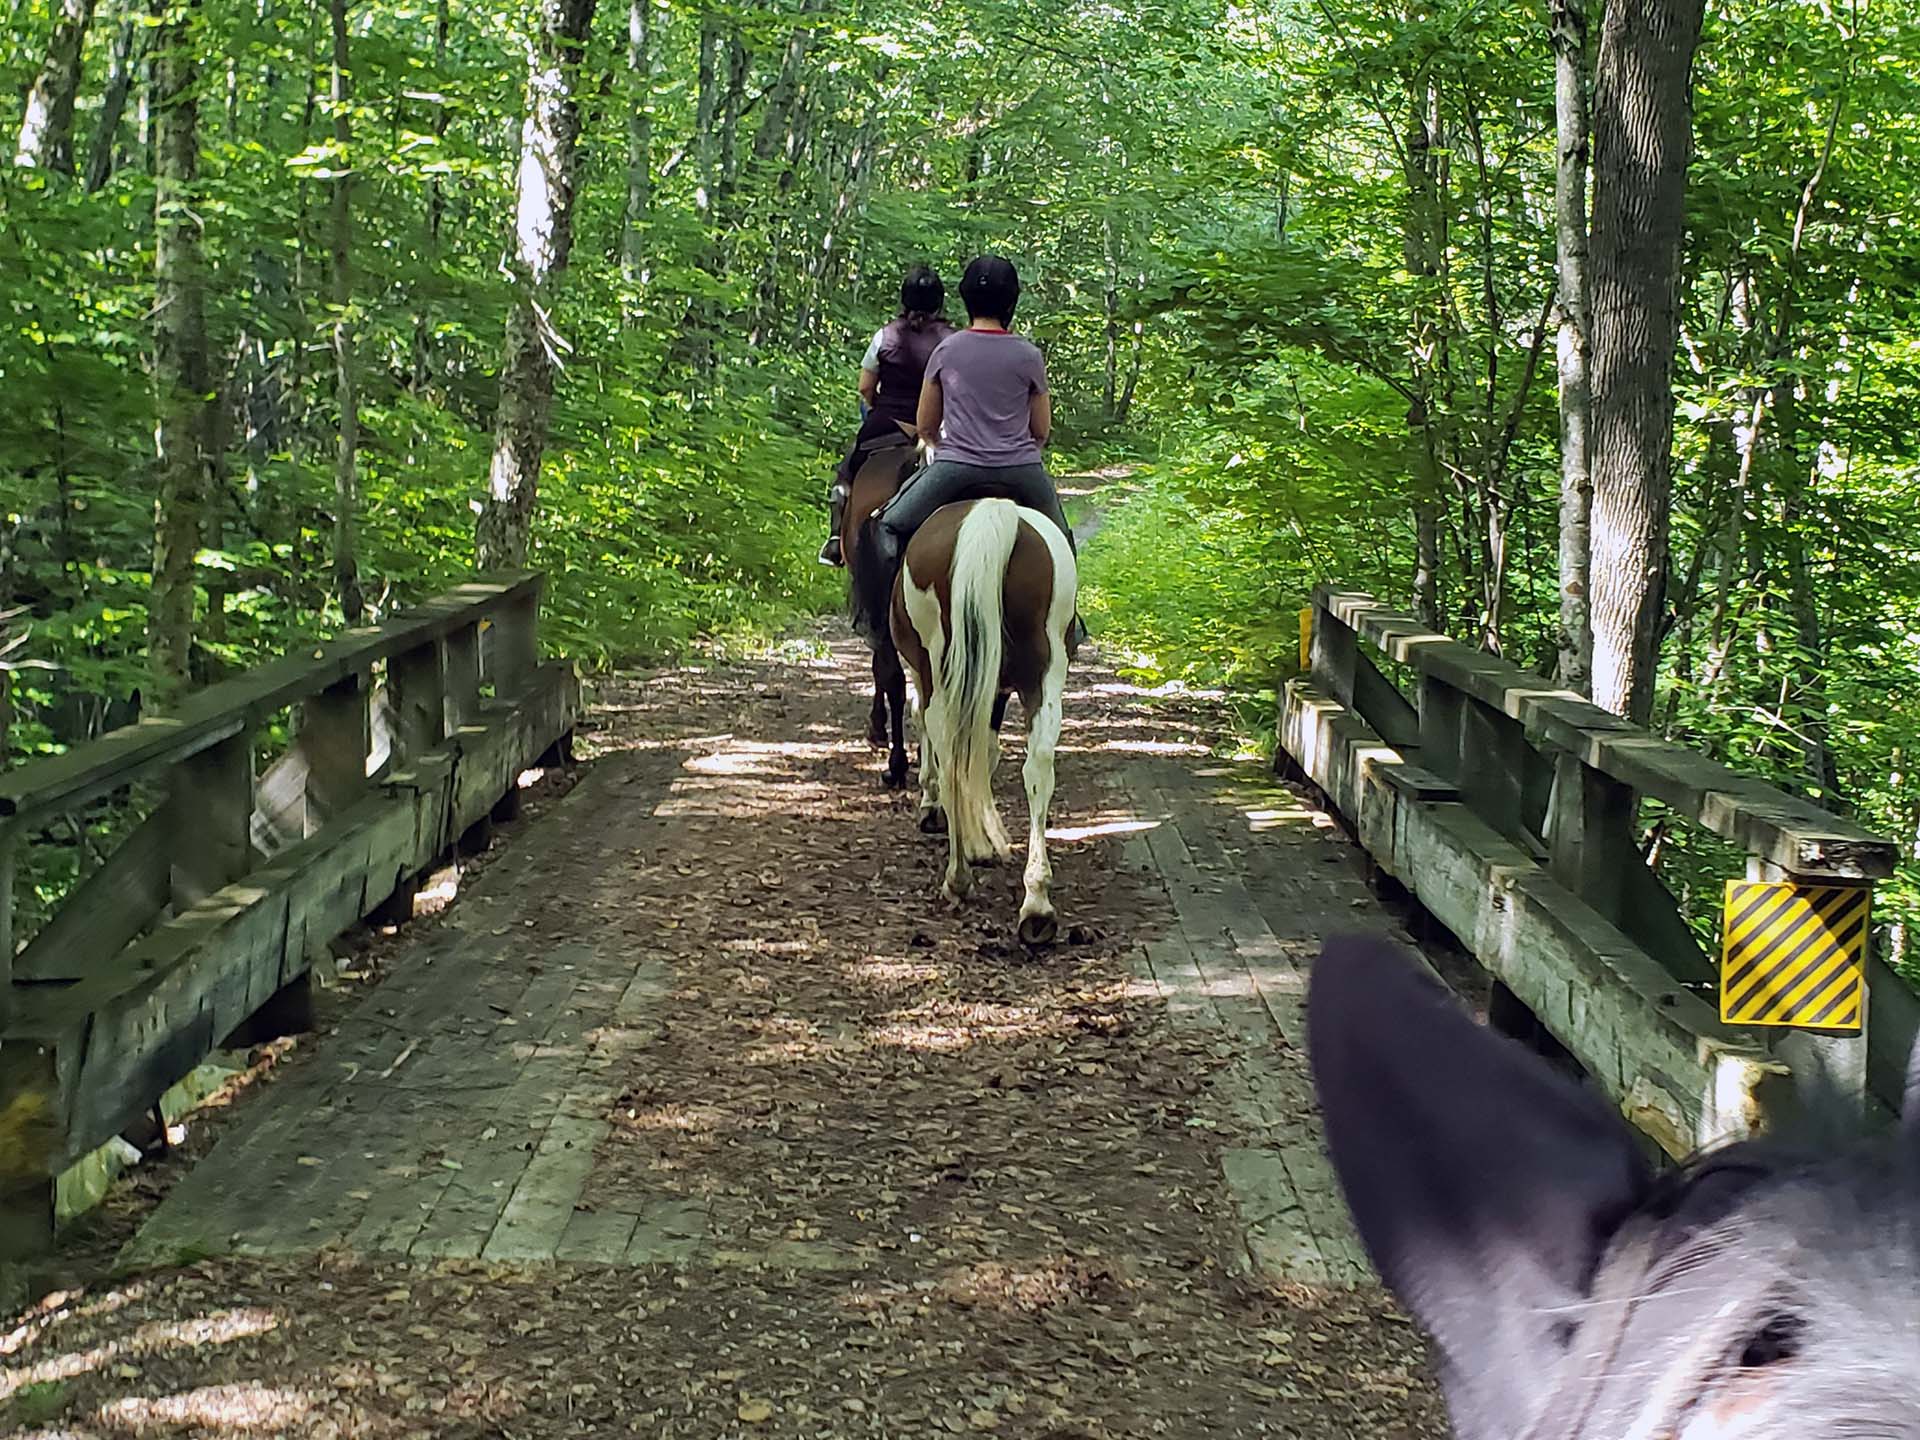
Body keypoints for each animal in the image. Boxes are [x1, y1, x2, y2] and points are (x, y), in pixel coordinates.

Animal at [887, 495, 1075, 948]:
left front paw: (937, 810)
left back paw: (958, 876)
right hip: (1044, 670)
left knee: (948, 749)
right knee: (1037, 766)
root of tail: (992, 511)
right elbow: (987, 752)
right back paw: (1036, 905)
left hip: (939, 666)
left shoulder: (928, 675)